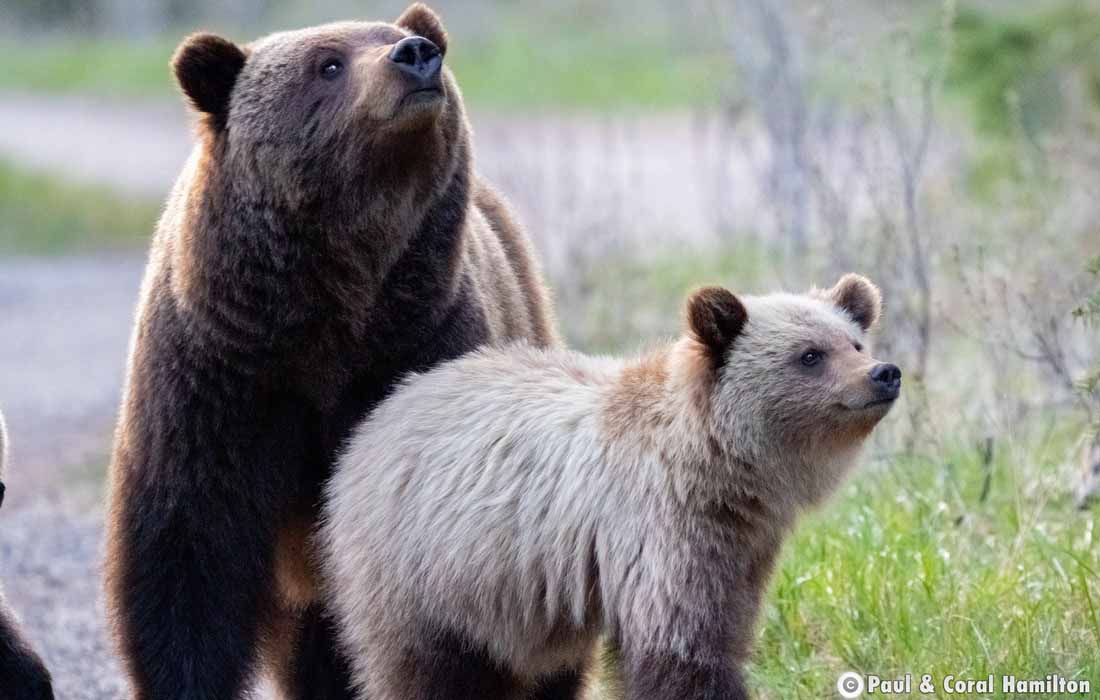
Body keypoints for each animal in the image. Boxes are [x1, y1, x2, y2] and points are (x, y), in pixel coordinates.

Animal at [103, 5, 558, 700]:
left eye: (387, 35)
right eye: (329, 63)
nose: (416, 52)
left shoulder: (418, 349)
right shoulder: (219, 377)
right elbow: (187, 553)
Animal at [321, 275, 902, 700]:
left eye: (854, 341)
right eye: (810, 355)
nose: (884, 372)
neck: (722, 467)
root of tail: (376, 418)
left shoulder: (740, 550)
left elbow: (725, 629)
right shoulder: (661, 530)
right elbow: (682, 651)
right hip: (421, 570)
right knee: (422, 669)